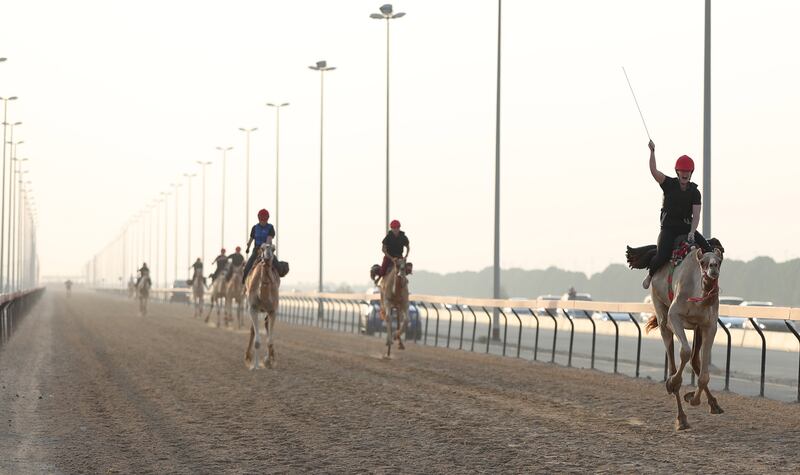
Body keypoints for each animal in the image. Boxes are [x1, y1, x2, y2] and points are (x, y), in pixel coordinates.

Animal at [632, 240, 724, 430]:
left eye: (719, 261)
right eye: (703, 262)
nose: (713, 269)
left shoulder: (709, 326)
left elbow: (704, 373)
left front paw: (693, 399)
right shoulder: (674, 316)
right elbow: (684, 352)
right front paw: (673, 383)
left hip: (696, 328)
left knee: (695, 361)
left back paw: (712, 405)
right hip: (660, 310)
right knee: (674, 359)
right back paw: (681, 417)